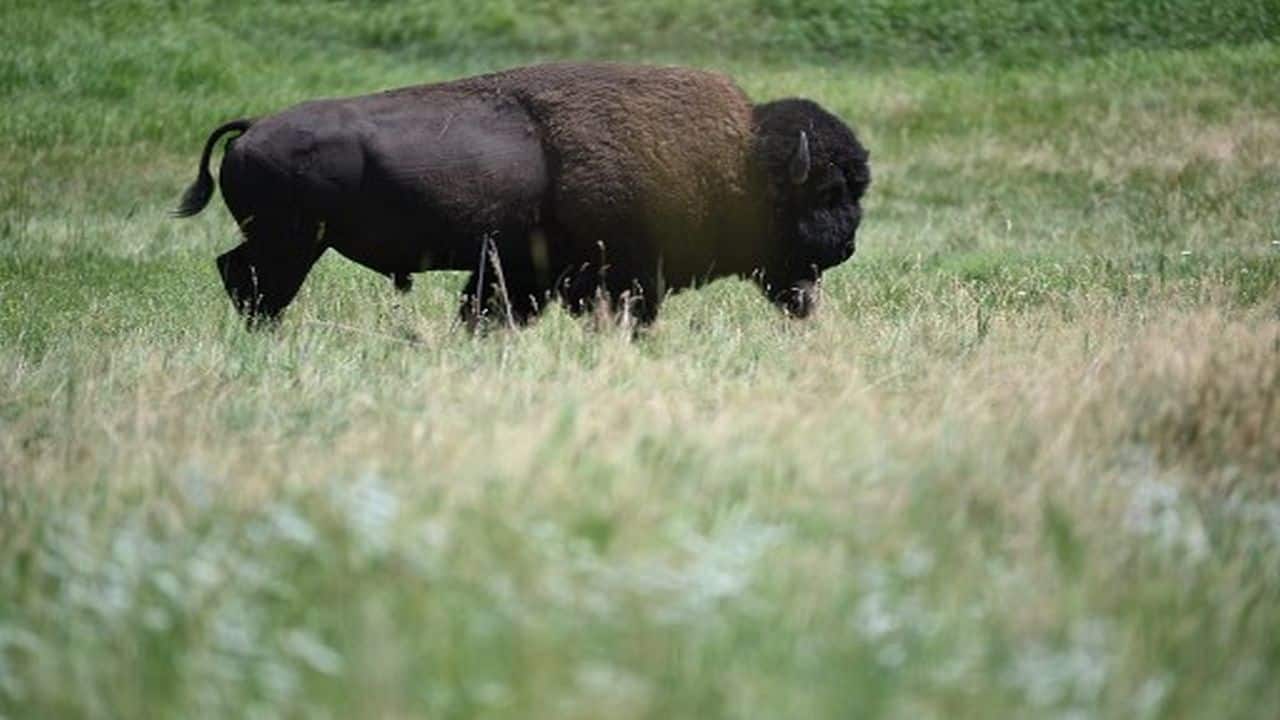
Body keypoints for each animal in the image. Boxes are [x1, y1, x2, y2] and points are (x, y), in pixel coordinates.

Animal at [175, 62, 870, 328]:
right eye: (828, 190)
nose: (846, 247)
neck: (737, 158)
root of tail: (252, 127)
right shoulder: (620, 275)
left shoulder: (518, 270)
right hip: (291, 243)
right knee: (255, 284)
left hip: (283, 242)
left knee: (238, 274)